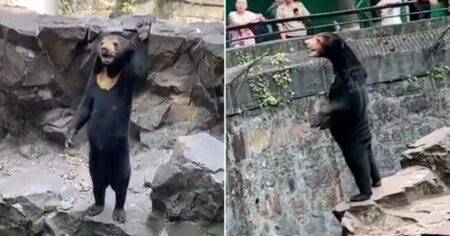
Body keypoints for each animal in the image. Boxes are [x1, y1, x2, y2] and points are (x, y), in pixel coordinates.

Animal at [66, 21, 151, 222]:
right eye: (102, 42)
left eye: (116, 44)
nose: (104, 50)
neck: (108, 75)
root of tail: (109, 179)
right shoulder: (93, 82)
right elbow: (84, 108)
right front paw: (69, 138)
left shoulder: (125, 80)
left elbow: (138, 68)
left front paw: (144, 30)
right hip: (94, 163)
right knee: (97, 185)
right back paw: (94, 207)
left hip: (121, 158)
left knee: (122, 185)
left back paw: (119, 212)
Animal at [304, 33, 382, 202]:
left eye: (319, 39)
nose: (306, 42)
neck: (342, 65)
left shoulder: (347, 82)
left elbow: (346, 104)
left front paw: (318, 119)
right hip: (366, 143)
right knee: (371, 159)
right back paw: (377, 181)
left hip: (352, 143)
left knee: (358, 164)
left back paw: (361, 194)